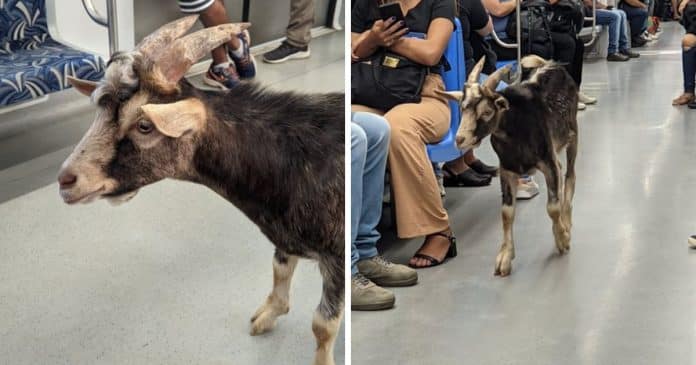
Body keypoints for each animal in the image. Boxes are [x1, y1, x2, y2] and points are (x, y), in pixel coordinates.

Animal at [57, 17, 346, 364]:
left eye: (144, 125)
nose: (66, 180)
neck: (297, 160)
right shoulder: (285, 236)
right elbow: (279, 272)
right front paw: (267, 316)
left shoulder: (339, 255)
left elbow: (323, 325)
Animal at [438, 55, 580, 274]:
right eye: (462, 108)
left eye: (487, 111)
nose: (460, 139)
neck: (517, 128)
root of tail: (551, 64)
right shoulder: (507, 169)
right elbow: (506, 213)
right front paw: (504, 257)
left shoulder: (547, 162)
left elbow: (552, 208)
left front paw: (563, 239)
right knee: (562, 169)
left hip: (572, 134)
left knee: (570, 175)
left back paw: (567, 220)